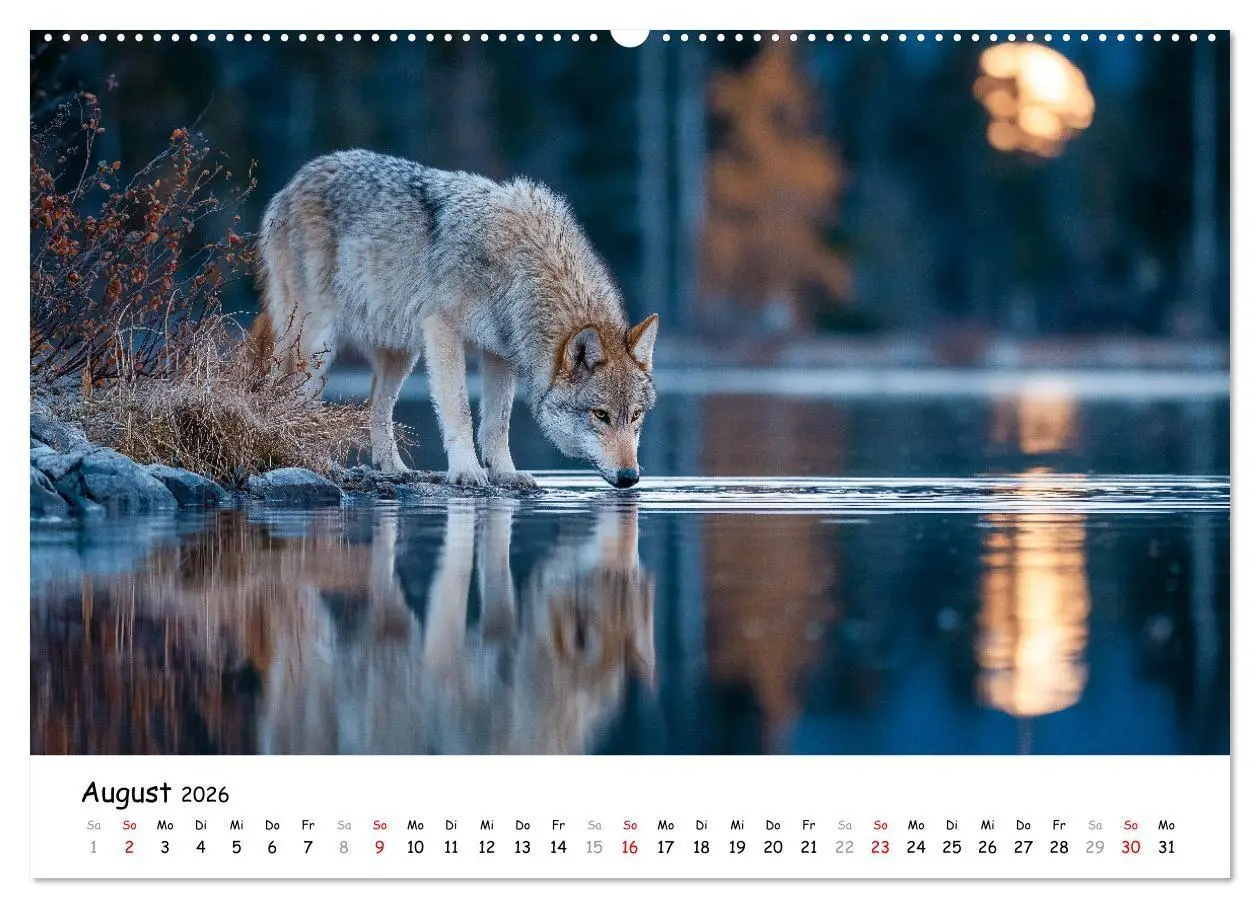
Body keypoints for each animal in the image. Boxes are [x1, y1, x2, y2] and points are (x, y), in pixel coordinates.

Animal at [253, 150, 659, 488]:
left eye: (636, 415)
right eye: (600, 414)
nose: (630, 477)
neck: (524, 266)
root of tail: (295, 181)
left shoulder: (499, 354)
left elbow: (497, 422)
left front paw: (506, 474)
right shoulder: (443, 330)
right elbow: (460, 409)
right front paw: (466, 471)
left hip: (400, 354)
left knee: (377, 408)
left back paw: (397, 470)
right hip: (317, 344)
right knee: (298, 401)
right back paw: (319, 463)